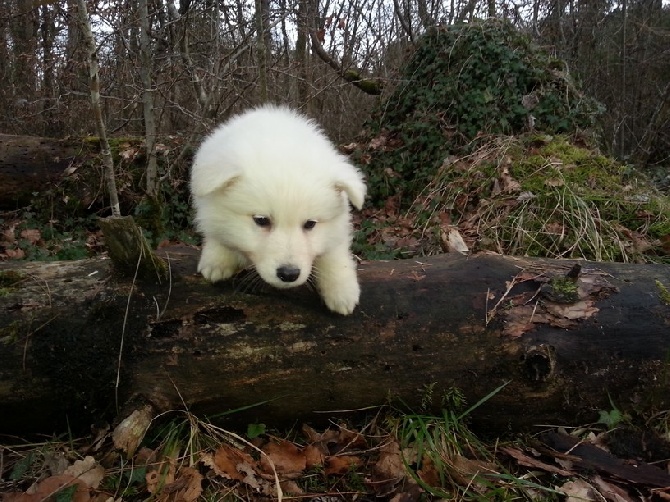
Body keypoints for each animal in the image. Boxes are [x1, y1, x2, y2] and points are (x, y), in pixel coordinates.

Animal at [189, 106, 368, 316]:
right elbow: (217, 232)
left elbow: (334, 251)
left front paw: (342, 292)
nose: (289, 274)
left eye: (310, 224)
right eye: (261, 220)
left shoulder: (338, 224)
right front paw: (217, 260)